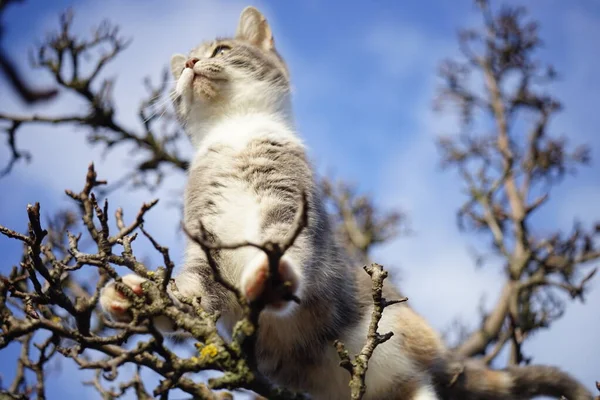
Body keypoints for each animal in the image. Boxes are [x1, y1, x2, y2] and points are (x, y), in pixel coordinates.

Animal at [101, 6, 592, 400]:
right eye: (179, 69)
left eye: (221, 49)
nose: (189, 62)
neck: (236, 132)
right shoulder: (205, 234)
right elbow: (192, 290)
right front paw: (138, 294)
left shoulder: (290, 202)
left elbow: (282, 239)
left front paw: (269, 274)